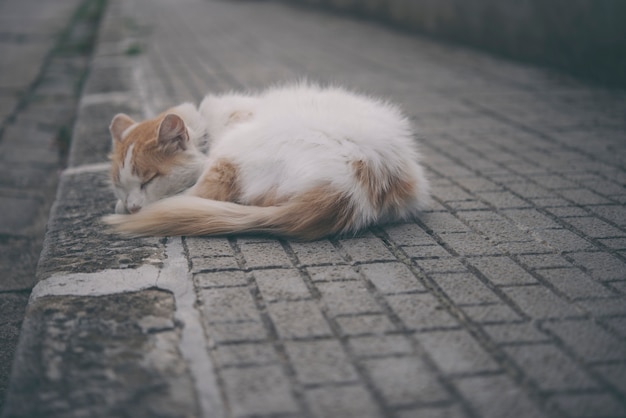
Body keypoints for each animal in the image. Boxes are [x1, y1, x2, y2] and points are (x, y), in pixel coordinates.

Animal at [106, 83, 428, 240]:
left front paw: (126, 207)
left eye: (149, 180)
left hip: (234, 150)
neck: (207, 128)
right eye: (120, 185)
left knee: (203, 194)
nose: (132, 205)